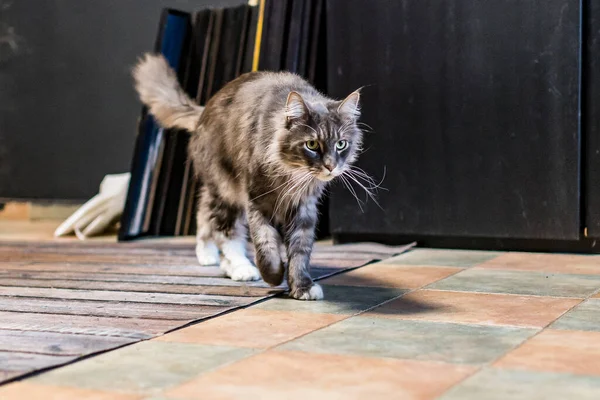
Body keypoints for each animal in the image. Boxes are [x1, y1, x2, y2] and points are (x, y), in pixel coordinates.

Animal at [134, 53, 364, 300]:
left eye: (341, 144)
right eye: (311, 144)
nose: (330, 166)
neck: (291, 174)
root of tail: (204, 110)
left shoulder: (304, 207)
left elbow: (300, 251)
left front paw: (302, 286)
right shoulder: (257, 200)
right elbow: (265, 243)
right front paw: (274, 274)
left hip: (220, 190)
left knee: (205, 213)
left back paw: (209, 255)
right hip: (226, 188)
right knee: (226, 232)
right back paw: (239, 267)